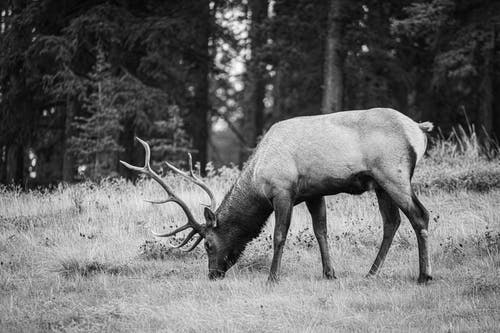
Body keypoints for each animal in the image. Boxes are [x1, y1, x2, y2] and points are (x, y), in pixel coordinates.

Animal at [122, 108, 434, 282]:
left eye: (208, 245)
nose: (212, 274)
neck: (257, 181)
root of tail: (419, 128)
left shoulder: (283, 190)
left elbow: (279, 235)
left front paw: (272, 277)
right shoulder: (314, 192)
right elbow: (321, 231)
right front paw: (329, 273)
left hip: (393, 173)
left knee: (420, 215)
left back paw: (424, 275)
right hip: (379, 184)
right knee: (391, 222)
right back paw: (371, 272)